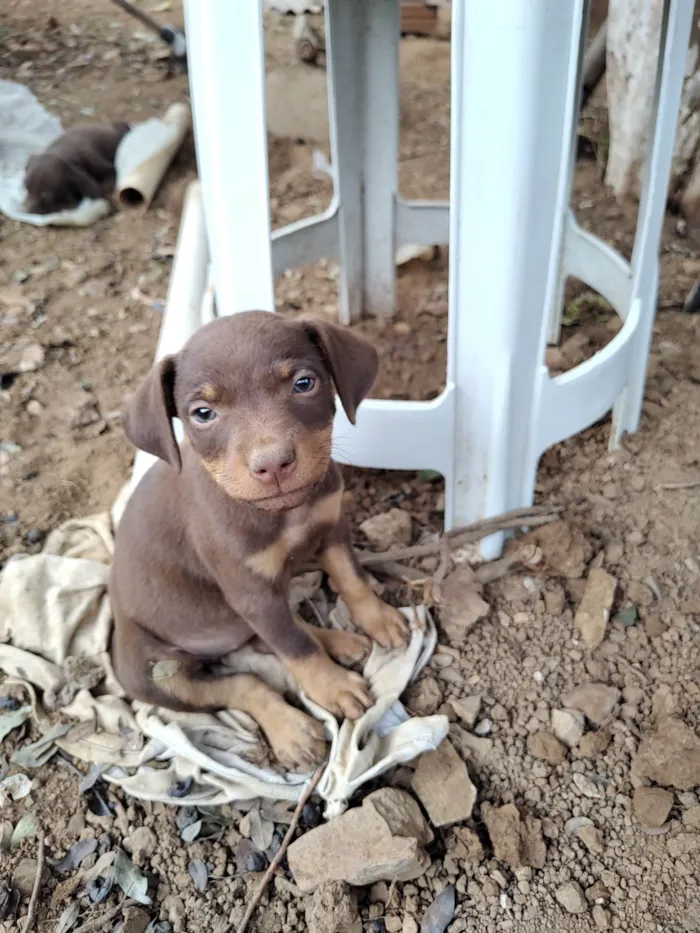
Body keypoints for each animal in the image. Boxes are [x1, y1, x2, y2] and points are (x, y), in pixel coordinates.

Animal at [110, 310, 410, 768]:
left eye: (304, 383)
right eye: (202, 413)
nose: (273, 464)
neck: (285, 512)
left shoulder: (333, 527)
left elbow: (351, 578)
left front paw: (377, 617)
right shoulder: (248, 589)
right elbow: (295, 648)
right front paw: (333, 687)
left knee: (271, 634)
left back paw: (339, 641)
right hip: (151, 670)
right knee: (247, 679)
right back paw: (292, 728)